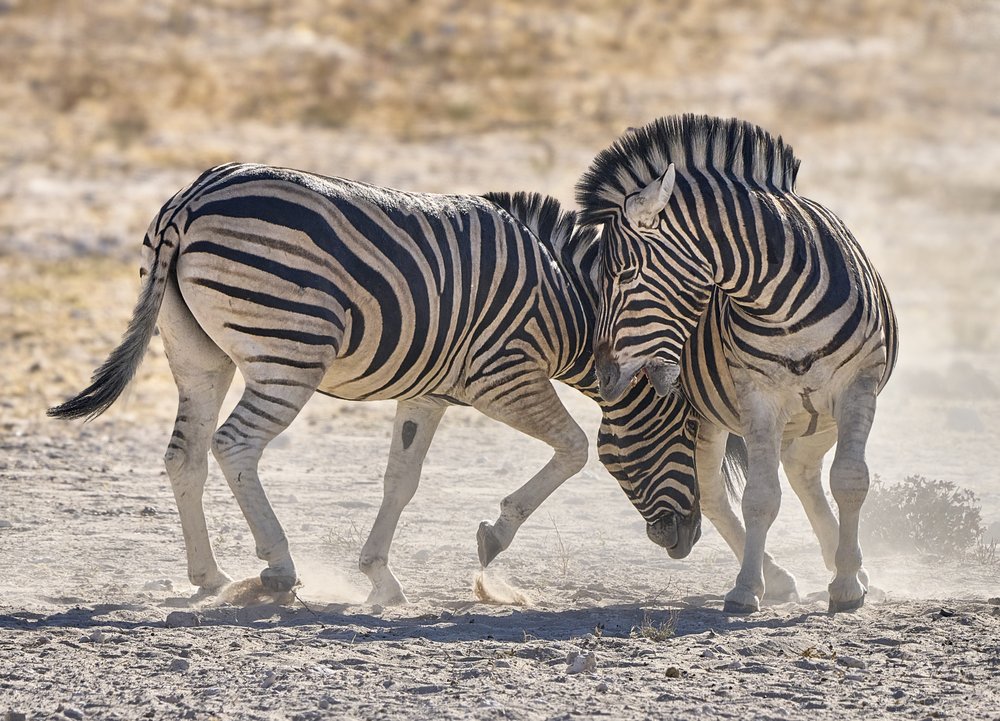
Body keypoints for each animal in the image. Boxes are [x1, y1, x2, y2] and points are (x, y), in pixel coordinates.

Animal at [47, 163, 760, 605]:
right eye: (686, 432)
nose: (687, 542)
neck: (574, 308)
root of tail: (190, 199)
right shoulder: (505, 375)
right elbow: (575, 449)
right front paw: (491, 536)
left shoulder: (427, 391)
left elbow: (402, 479)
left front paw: (379, 578)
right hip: (289, 352)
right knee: (234, 446)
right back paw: (278, 569)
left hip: (197, 353)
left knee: (185, 454)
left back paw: (208, 575)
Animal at [577, 115, 898, 613]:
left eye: (625, 275)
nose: (606, 377)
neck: (782, 305)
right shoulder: (758, 398)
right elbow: (759, 498)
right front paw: (747, 589)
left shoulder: (857, 387)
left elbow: (850, 480)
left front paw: (847, 586)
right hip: (715, 417)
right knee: (721, 491)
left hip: (821, 415)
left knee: (805, 470)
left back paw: (851, 568)